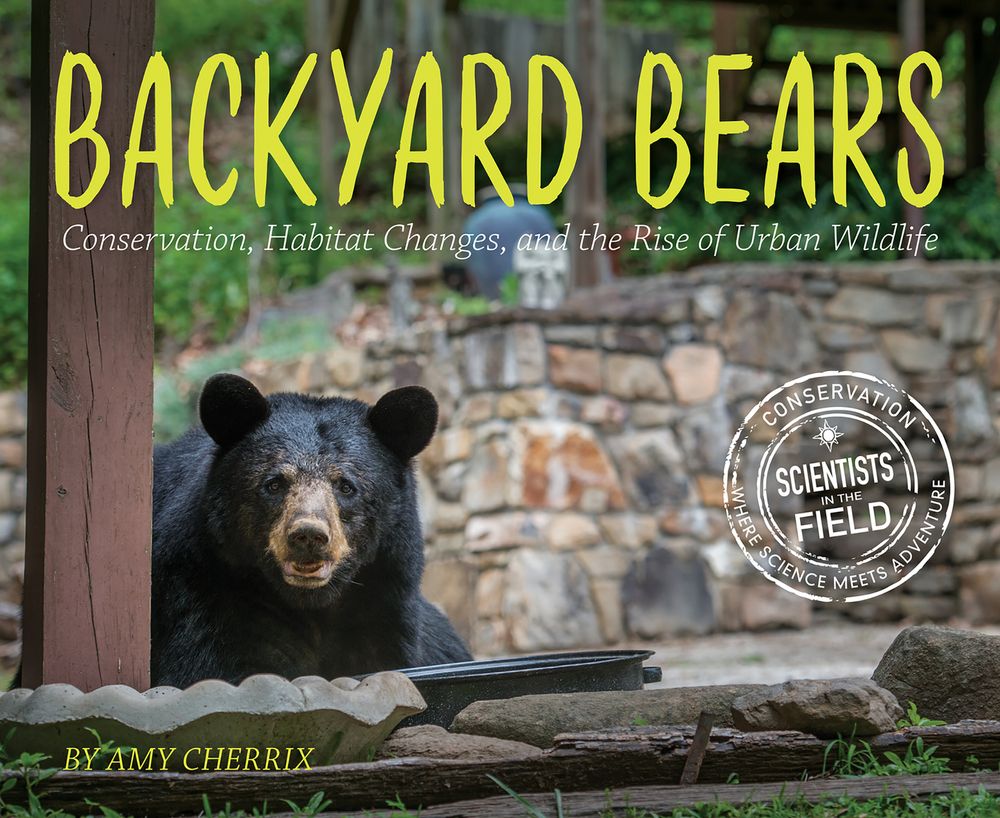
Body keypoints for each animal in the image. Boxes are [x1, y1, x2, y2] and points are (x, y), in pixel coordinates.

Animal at [150, 373, 472, 688]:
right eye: (274, 483)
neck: (312, 604)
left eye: (346, 486)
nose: (308, 535)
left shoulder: (383, 602)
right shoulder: (208, 594)